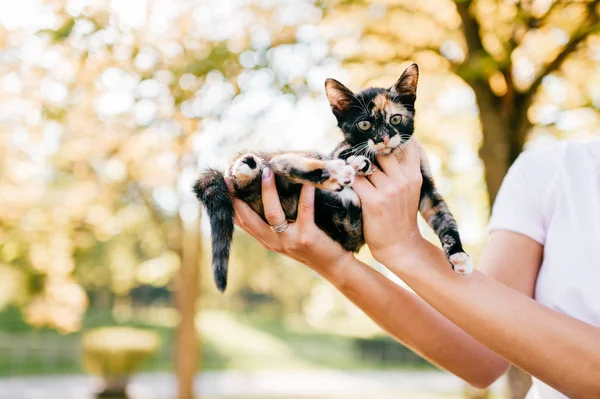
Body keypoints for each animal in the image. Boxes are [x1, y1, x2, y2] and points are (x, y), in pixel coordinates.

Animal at [195, 64, 472, 292]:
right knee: (278, 162)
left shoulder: (427, 187)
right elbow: (350, 153)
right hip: (301, 158)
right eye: (364, 125)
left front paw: (458, 255)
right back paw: (331, 172)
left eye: (395, 118)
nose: (383, 138)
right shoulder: (339, 150)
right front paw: (361, 161)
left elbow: (444, 217)